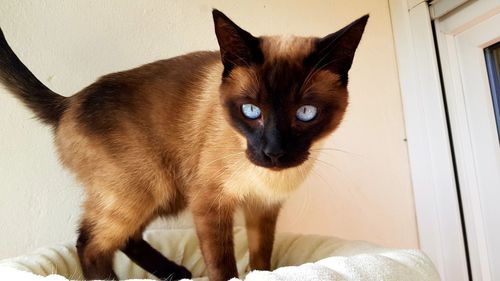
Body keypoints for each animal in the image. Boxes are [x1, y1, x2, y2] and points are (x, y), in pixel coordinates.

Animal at [0, 8, 368, 280]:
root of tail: (68, 103)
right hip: (148, 189)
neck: (266, 177)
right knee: (89, 243)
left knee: (126, 237)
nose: (273, 152)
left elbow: (261, 260)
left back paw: (174, 273)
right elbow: (222, 265)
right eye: (251, 111)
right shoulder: (209, 202)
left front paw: (263, 274)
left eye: (306, 113)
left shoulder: (262, 207)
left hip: (164, 193)